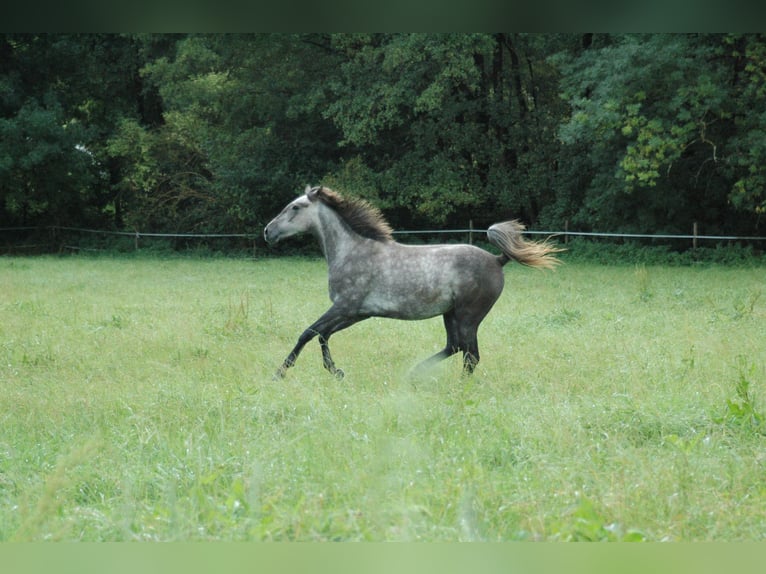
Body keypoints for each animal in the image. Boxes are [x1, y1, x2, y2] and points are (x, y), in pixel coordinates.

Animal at [264, 185, 562, 379]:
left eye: (296, 207)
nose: (268, 231)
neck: (353, 251)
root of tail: (498, 260)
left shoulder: (344, 307)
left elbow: (308, 332)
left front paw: (280, 372)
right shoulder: (357, 312)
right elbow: (323, 334)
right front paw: (335, 371)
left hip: (469, 315)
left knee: (470, 355)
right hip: (450, 313)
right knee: (456, 347)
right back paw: (415, 373)